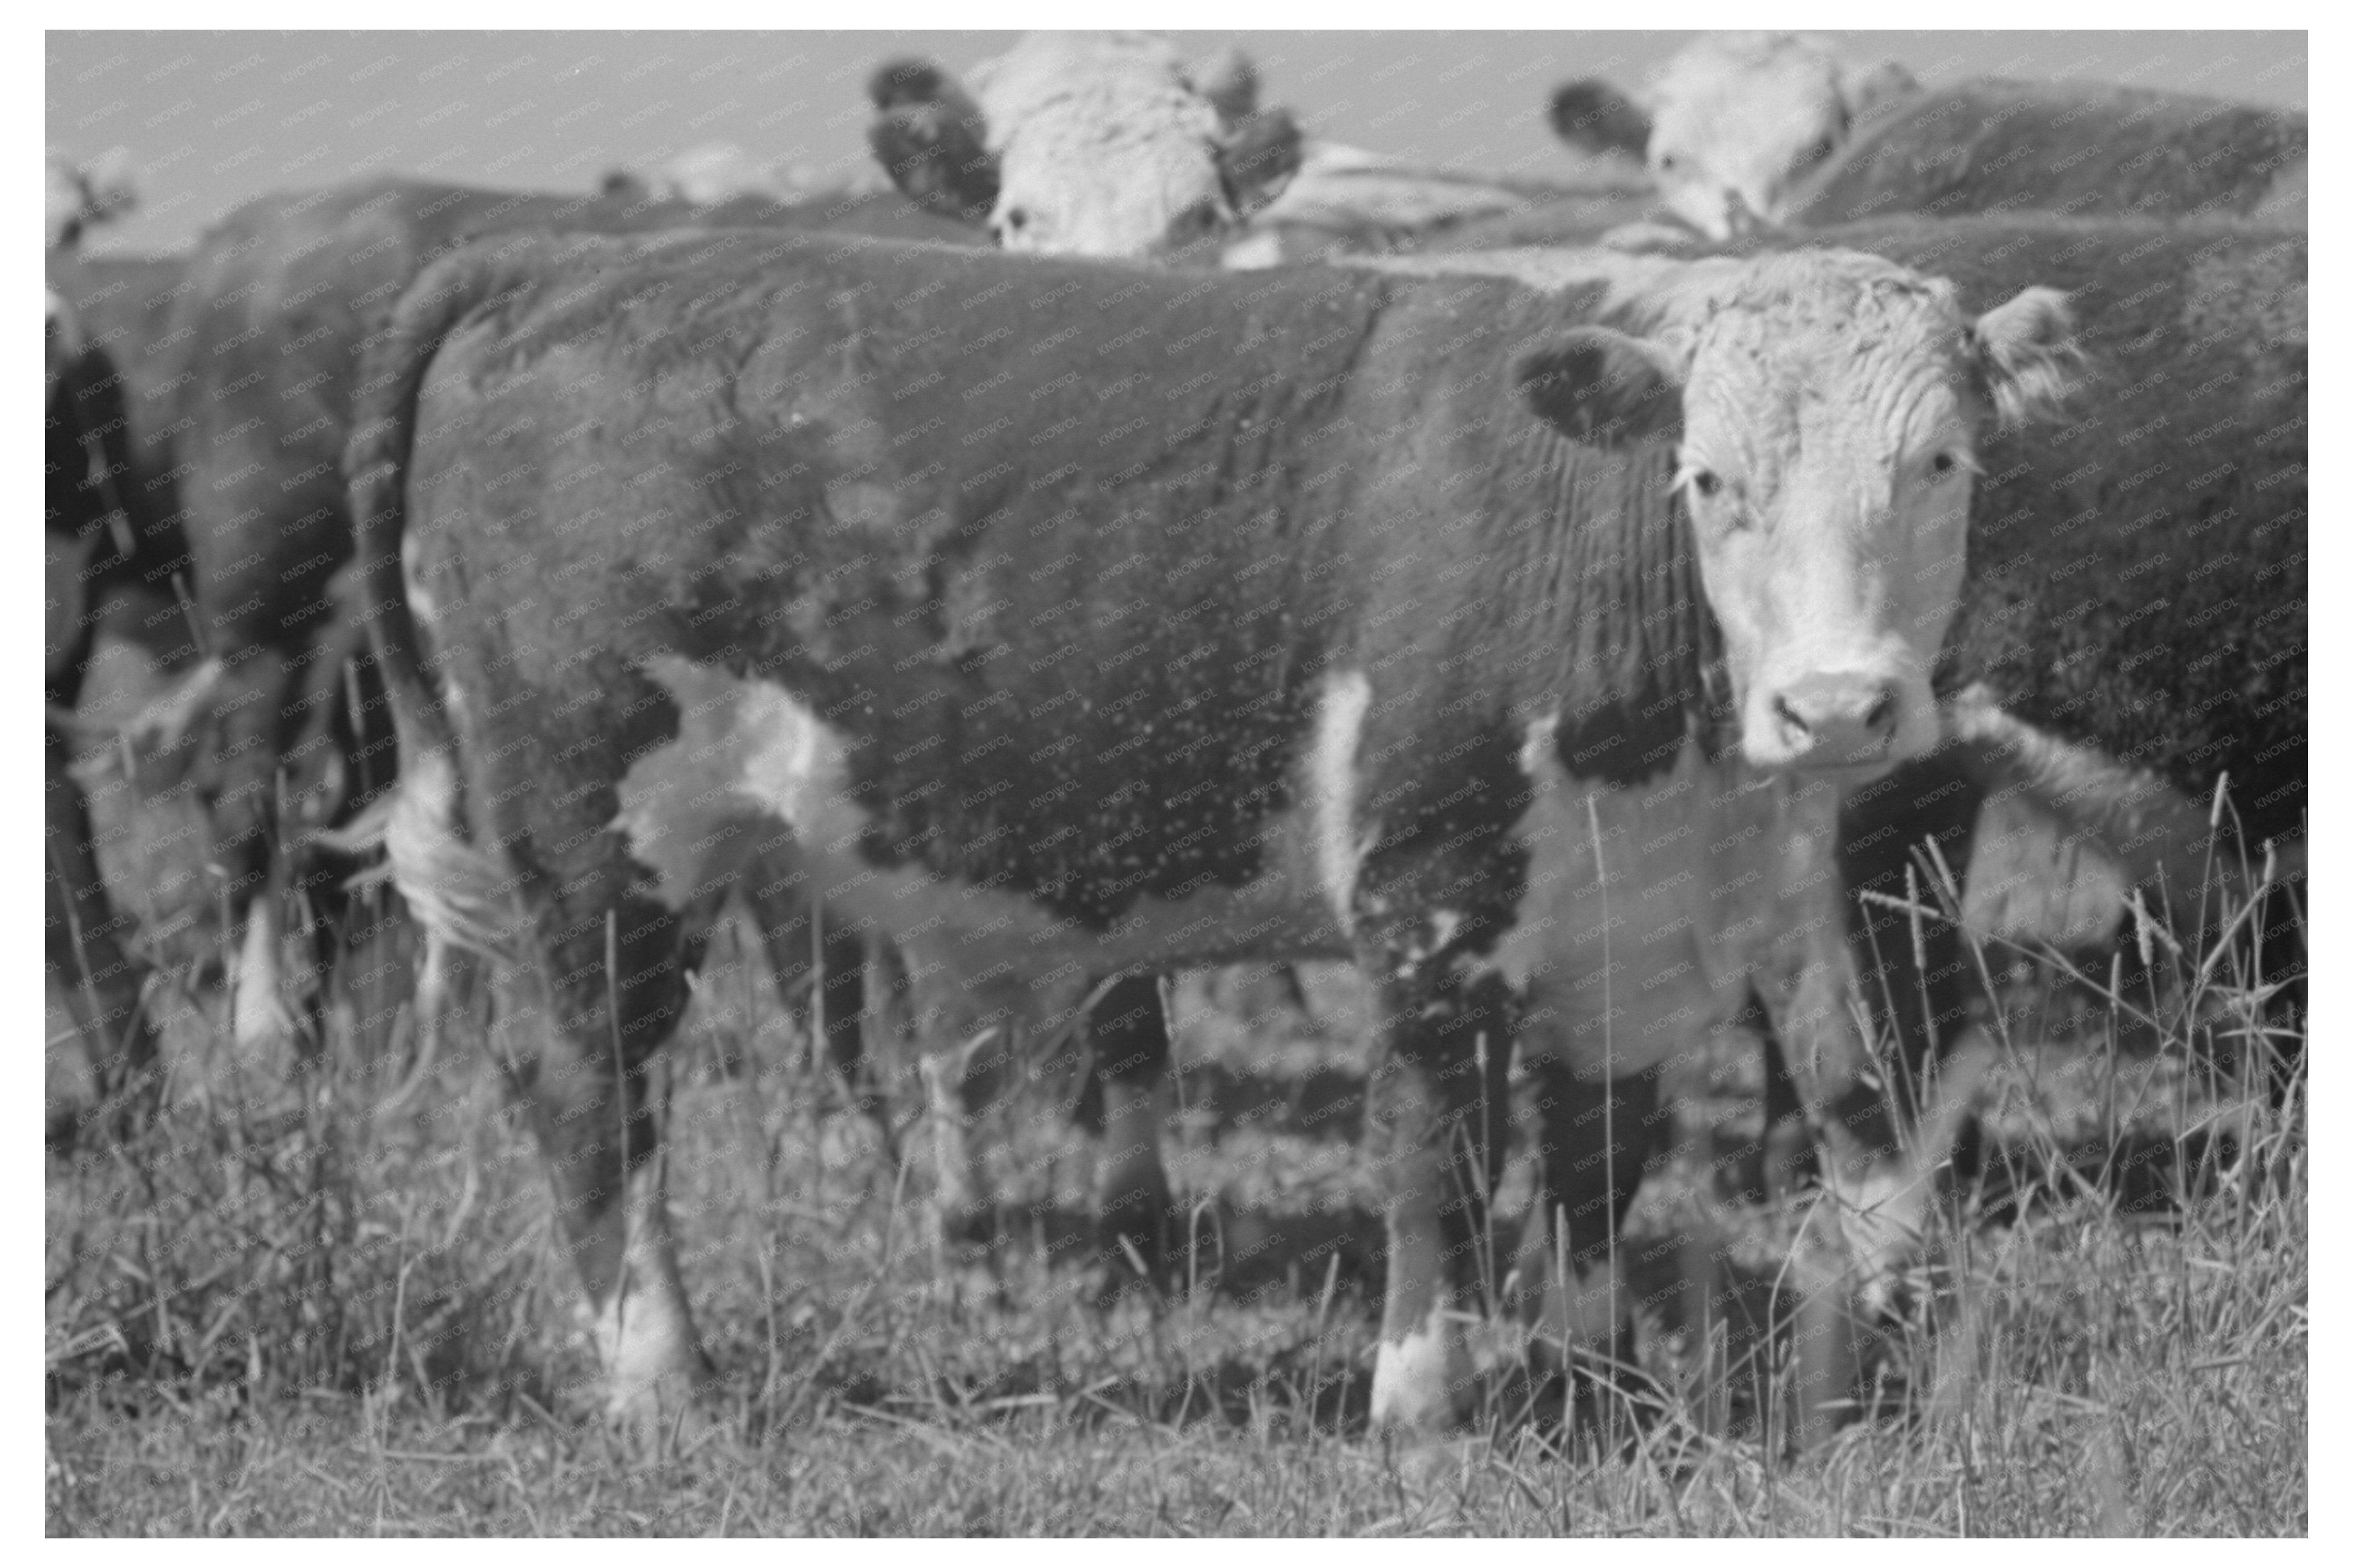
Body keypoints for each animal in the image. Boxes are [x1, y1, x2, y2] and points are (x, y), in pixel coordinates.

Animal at [343, 226, 2080, 1431]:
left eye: (1941, 461)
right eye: (1707, 478)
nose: (1835, 707)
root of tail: (553, 262)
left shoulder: (1628, 925)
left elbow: (1596, 1161)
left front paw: (1594, 1386)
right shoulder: (1425, 895)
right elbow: (1433, 1156)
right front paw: (1421, 1409)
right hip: (594, 837)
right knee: (591, 1084)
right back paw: (661, 1379)